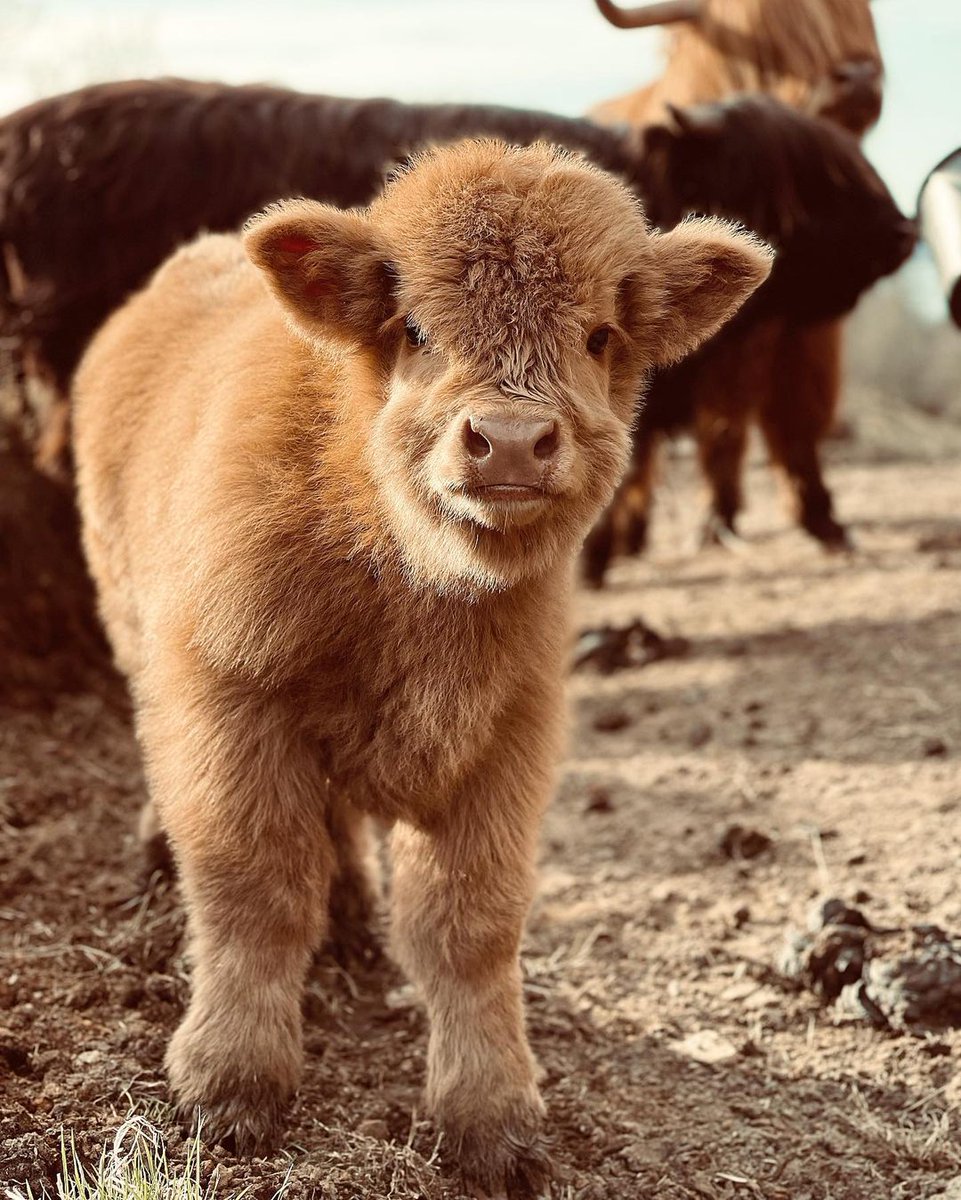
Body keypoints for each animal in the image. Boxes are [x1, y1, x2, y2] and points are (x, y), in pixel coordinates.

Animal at [72, 139, 772, 1195]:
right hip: (134, 625)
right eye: (413, 328)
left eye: (599, 335)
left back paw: (354, 907)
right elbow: (252, 888)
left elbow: (467, 927)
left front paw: (491, 1119)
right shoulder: (229, 702)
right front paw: (229, 1086)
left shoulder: (502, 741)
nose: (512, 440)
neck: (405, 576)